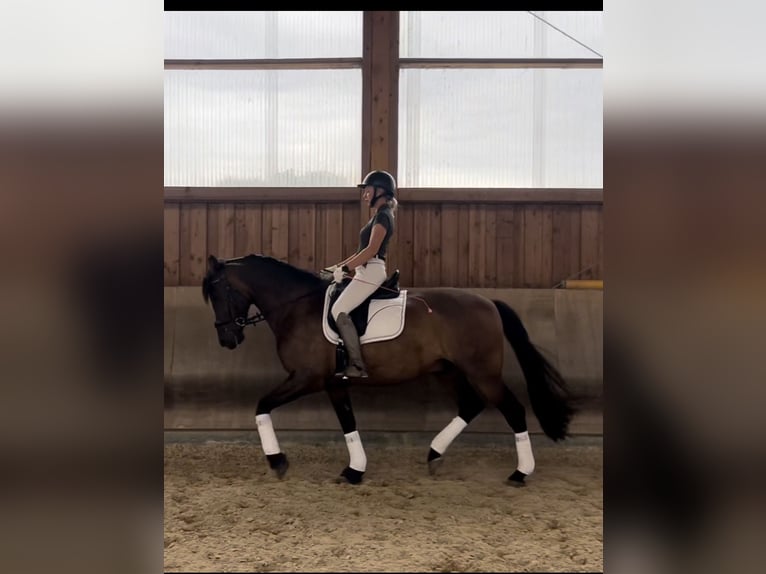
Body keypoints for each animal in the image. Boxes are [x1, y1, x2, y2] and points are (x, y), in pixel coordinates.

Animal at [202, 253, 575, 486]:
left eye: (217, 292)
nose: (227, 339)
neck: (296, 305)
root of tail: (489, 303)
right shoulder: (334, 383)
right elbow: (348, 423)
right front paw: (354, 471)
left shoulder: (306, 379)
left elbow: (262, 406)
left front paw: (277, 461)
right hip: (448, 371)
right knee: (471, 405)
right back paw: (434, 454)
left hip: (483, 373)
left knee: (513, 410)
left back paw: (520, 473)